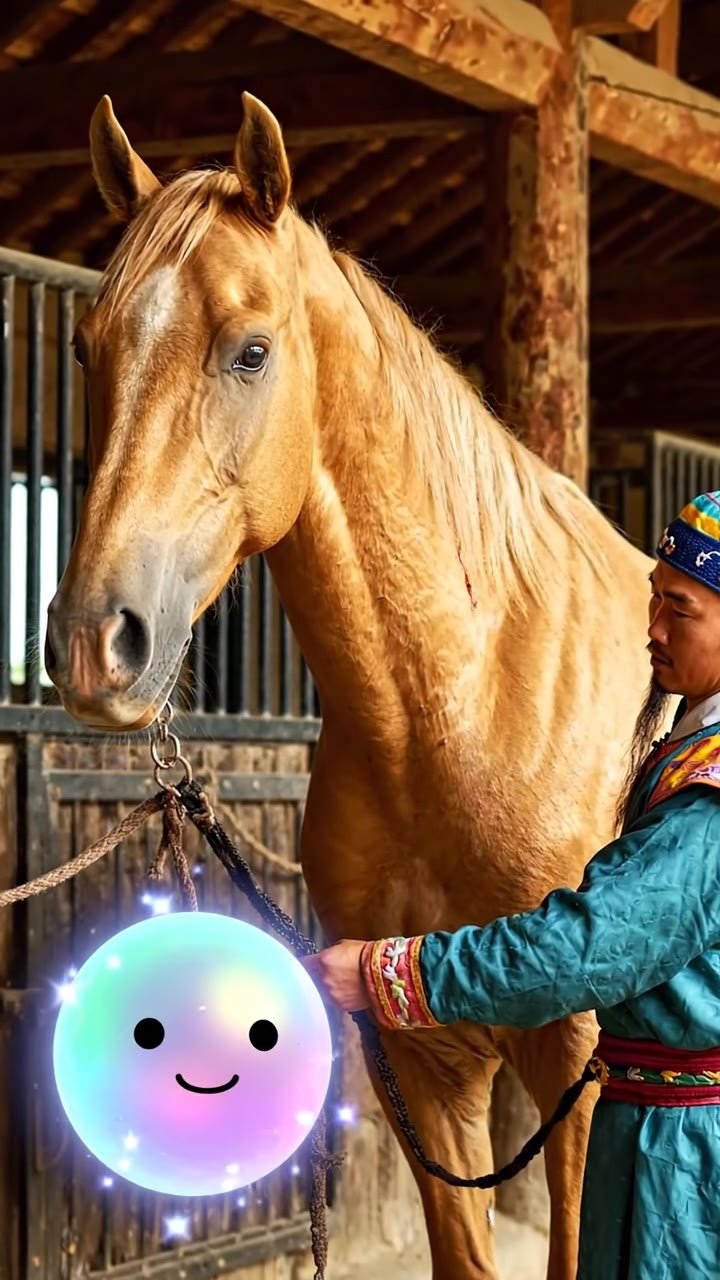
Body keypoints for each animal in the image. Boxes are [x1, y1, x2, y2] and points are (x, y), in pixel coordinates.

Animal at [45, 91, 662, 1279]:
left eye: (250, 351)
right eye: (87, 347)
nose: (96, 642)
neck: (469, 710)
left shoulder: (579, 1071)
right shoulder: (425, 1066)